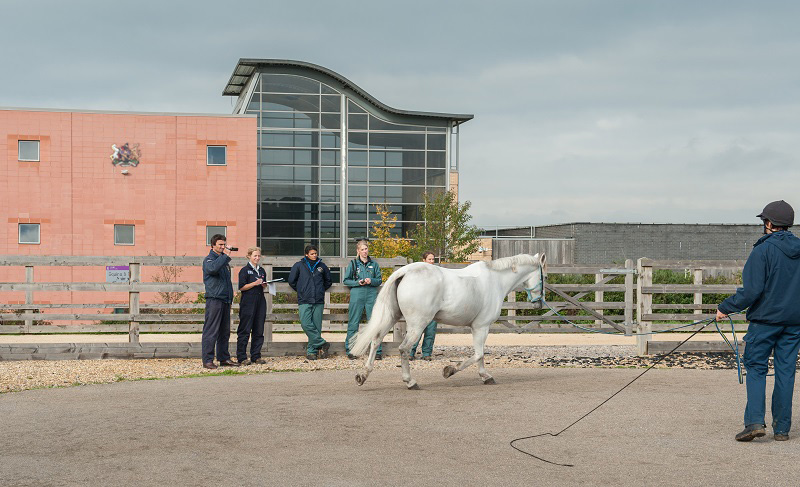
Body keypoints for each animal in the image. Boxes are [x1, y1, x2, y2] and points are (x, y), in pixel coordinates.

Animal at [348, 254, 544, 390]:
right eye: (543, 277)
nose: (539, 303)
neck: (495, 280)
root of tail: (404, 272)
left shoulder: (477, 328)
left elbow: (480, 355)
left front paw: (485, 377)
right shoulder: (482, 327)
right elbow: (479, 354)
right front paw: (450, 370)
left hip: (391, 317)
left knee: (376, 340)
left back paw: (362, 375)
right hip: (418, 324)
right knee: (404, 349)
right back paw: (410, 382)